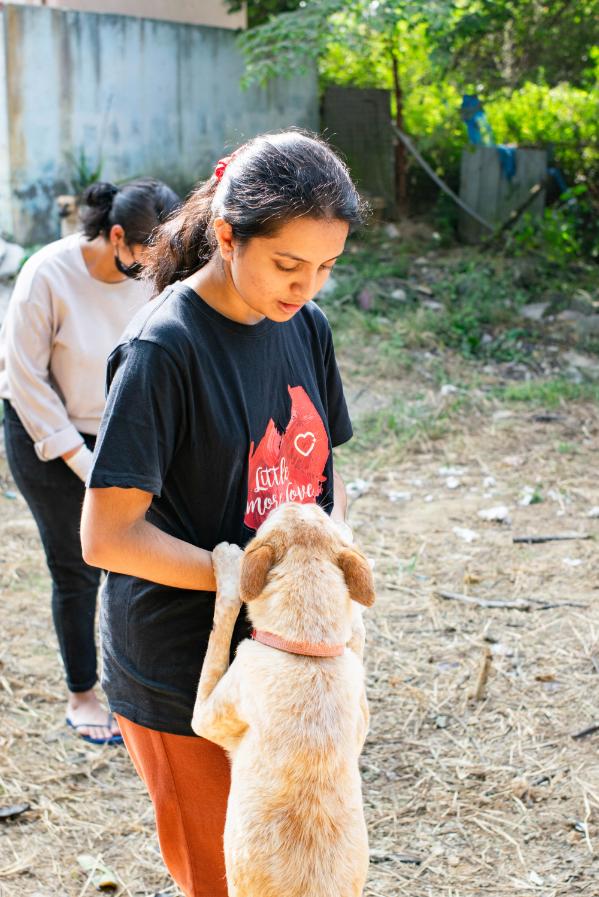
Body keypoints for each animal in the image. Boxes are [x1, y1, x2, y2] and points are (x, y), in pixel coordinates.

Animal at [192, 500, 376, 896]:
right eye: (317, 517)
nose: (298, 500)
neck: (308, 649)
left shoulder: (206, 714)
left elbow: (223, 620)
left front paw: (228, 566)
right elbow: (355, 626)